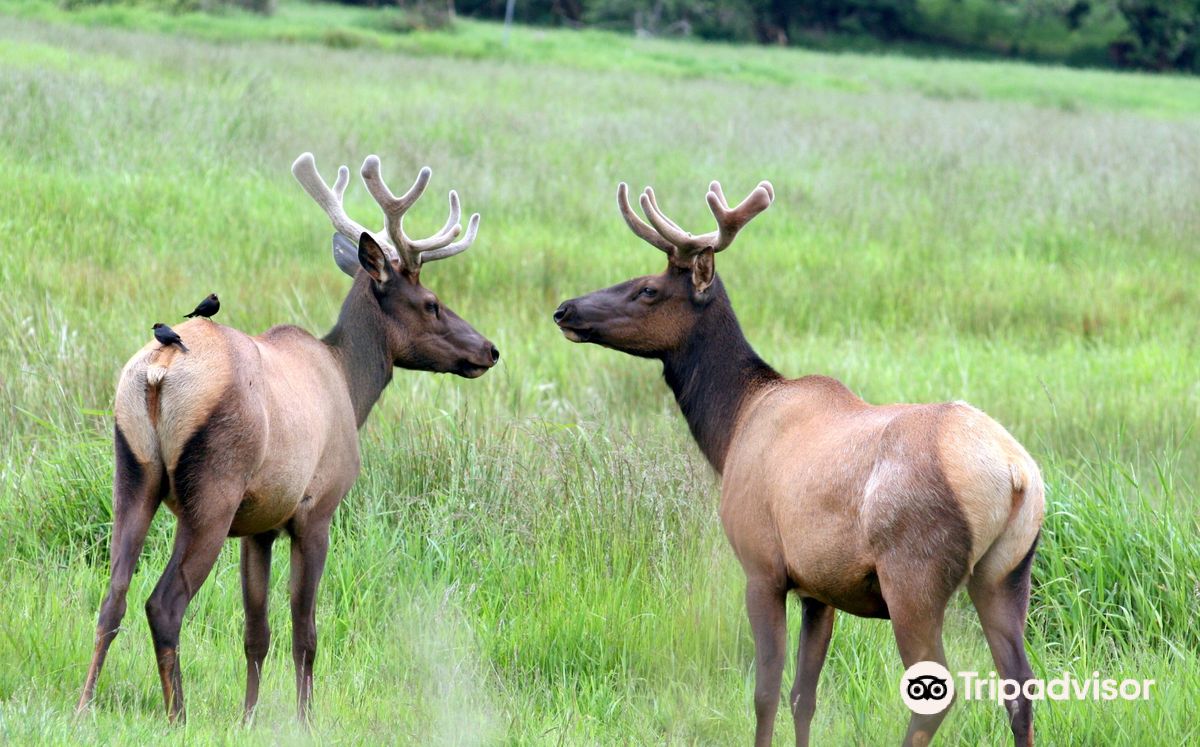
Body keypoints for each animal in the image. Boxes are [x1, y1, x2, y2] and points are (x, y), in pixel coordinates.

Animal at [76, 153, 499, 724]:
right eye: (432, 302)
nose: (488, 349)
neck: (351, 386)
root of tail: (159, 371)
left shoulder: (258, 526)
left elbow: (256, 632)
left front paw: (249, 716)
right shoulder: (314, 510)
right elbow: (306, 633)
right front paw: (304, 719)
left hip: (133, 469)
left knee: (112, 595)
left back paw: (84, 705)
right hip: (213, 491)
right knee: (163, 603)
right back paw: (178, 715)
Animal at [553, 180, 1044, 747]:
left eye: (648, 289)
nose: (565, 309)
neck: (733, 427)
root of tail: (1016, 475)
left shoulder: (762, 566)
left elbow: (765, 692)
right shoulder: (820, 588)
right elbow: (802, 696)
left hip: (913, 576)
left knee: (937, 693)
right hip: (1006, 573)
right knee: (1020, 687)